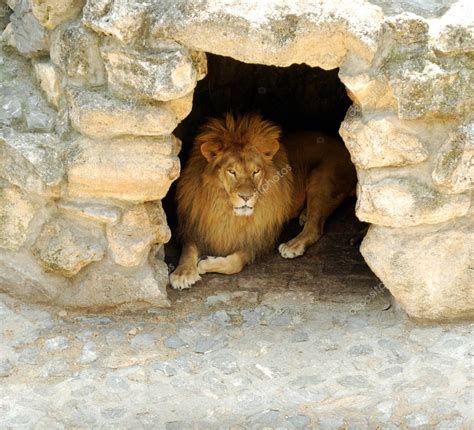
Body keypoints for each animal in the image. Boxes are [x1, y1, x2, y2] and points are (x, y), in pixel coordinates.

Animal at [169, 112, 356, 290]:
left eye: (256, 171)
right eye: (232, 171)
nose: (246, 197)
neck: (226, 210)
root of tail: (343, 146)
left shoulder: (255, 238)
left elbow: (234, 264)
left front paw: (205, 263)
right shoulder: (196, 225)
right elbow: (188, 250)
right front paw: (182, 273)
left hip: (320, 178)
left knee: (315, 227)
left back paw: (293, 244)